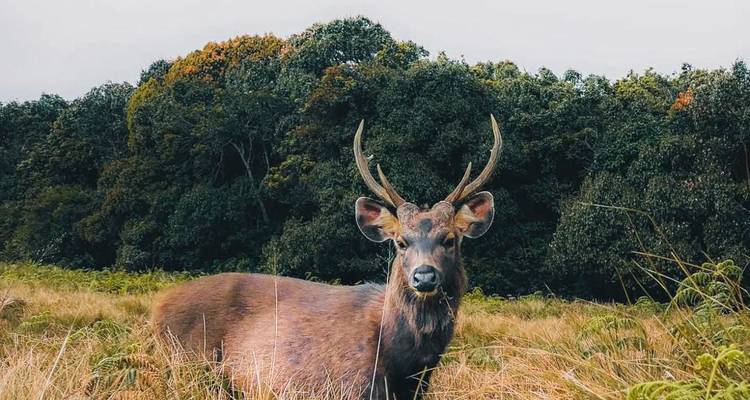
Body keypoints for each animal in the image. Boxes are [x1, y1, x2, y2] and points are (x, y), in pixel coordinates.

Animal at [151, 115, 502, 399]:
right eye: (401, 242)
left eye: (450, 240)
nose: (424, 276)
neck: (403, 362)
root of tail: (158, 308)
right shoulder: (347, 385)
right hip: (189, 360)